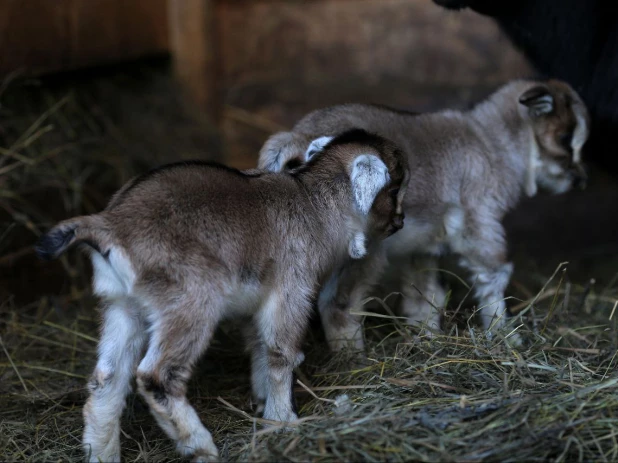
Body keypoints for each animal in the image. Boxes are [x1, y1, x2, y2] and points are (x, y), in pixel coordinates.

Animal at [36, 130, 406, 463]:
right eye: (395, 188)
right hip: (190, 301)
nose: (400, 222)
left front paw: (263, 402)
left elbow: (259, 347)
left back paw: (102, 453)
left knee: (106, 380)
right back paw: (200, 446)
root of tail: (110, 224)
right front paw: (283, 422)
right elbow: (281, 354)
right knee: (156, 375)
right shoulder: (292, 289)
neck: (313, 203)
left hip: (122, 306)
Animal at [258, 80, 588, 350]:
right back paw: (355, 361)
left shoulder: (423, 247)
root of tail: (296, 137)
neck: (492, 145)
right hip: (362, 251)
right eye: (565, 137)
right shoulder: (479, 221)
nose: (579, 181)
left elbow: (425, 296)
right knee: (338, 304)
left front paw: (428, 337)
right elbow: (494, 275)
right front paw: (507, 337)